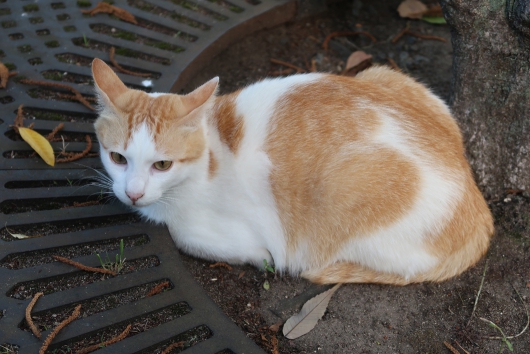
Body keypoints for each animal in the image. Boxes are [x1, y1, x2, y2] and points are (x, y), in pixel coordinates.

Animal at [89, 58, 490, 284]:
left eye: (162, 164)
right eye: (118, 158)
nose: (133, 192)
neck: (209, 157)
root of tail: (480, 207)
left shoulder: (219, 228)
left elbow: (190, 237)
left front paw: (260, 258)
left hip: (346, 191)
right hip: (387, 76)